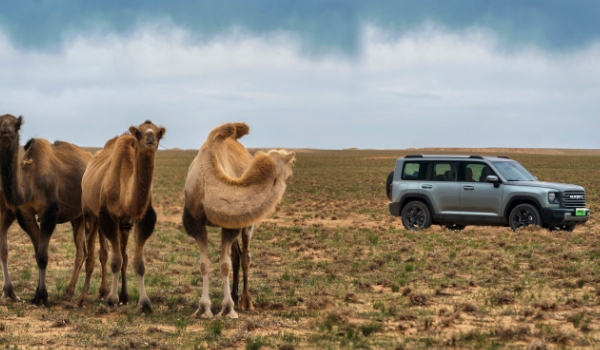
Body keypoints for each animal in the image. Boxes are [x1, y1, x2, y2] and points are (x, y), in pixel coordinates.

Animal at [0, 115, 91, 306]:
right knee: (81, 252)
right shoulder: (25, 214)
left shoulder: (49, 211)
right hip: (77, 218)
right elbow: (37, 252)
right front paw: (36, 293)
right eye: (0, 122)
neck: (29, 182)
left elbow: (43, 256)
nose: (5, 130)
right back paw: (68, 293)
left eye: (16, 125)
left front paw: (42, 296)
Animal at [74, 120, 166, 312]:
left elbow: (136, 262)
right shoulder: (109, 218)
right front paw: (111, 299)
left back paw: (119, 295)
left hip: (122, 226)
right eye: (138, 133)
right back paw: (83, 299)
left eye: (159, 133)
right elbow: (116, 260)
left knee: (119, 255)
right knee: (91, 257)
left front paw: (144, 302)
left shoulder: (139, 220)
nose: (150, 138)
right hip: (90, 214)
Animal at [183, 122, 296, 318]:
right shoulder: (195, 223)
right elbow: (205, 264)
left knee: (245, 257)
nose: (292, 173)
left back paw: (246, 302)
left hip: (246, 224)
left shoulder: (231, 225)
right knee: (237, 255)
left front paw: (228, 309)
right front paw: (203, 308)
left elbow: (225, 265)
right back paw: (236, 297)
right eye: (293, 162)